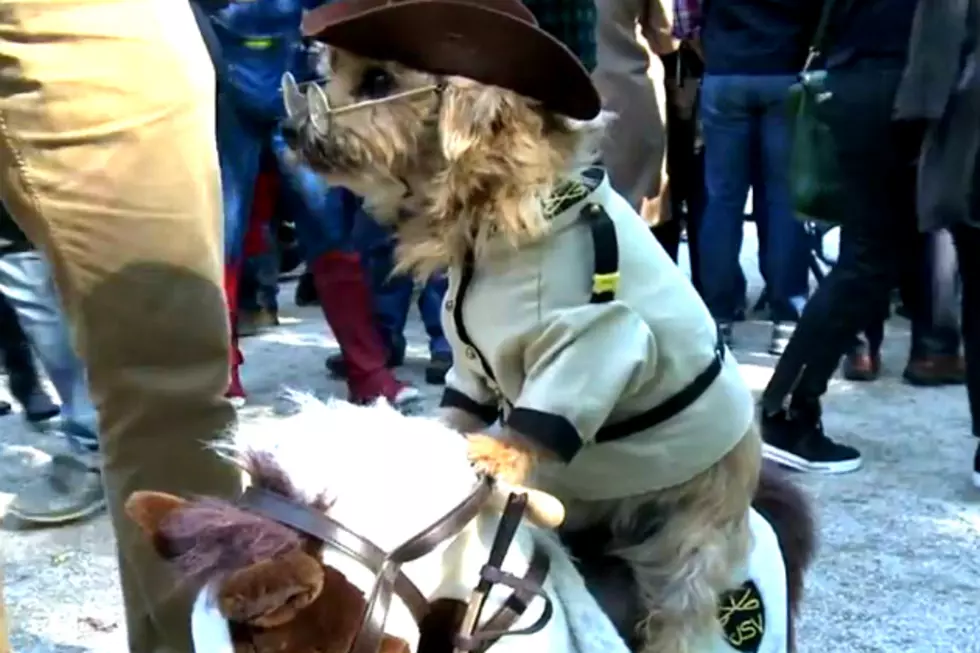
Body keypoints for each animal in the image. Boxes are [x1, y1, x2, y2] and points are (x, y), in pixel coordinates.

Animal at [280, 2, 816, 648]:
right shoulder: (470, 360)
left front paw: (498, 454)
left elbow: (543, 417)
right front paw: (437, 437)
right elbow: (462, 406)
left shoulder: (598, 336)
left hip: (693, 540)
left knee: (682, 610)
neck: (484, 220)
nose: (287, 130)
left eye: (378, 80)